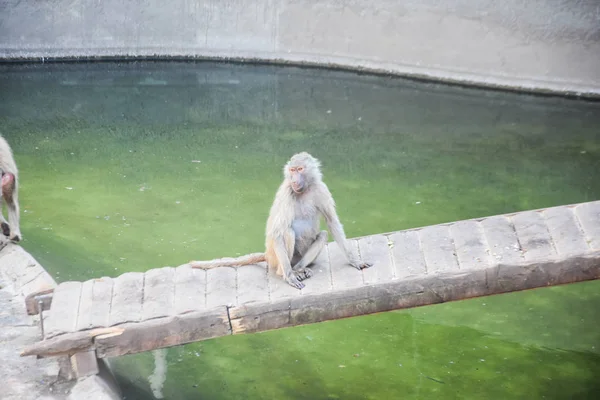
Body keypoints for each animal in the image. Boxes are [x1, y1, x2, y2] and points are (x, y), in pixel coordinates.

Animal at [190, 152, 372, 288]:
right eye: (292, 170)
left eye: (300, 169)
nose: (294, 179)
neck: (304, 190)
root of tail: (267, 254)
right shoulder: (286, 192)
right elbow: (278, 232)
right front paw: (290, 277)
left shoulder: (321, 188)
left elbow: (331, 222)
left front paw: (355, 261)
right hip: (275, 257)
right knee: (287, 232)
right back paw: (288, 272)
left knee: (323, 235)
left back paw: (300, 268)